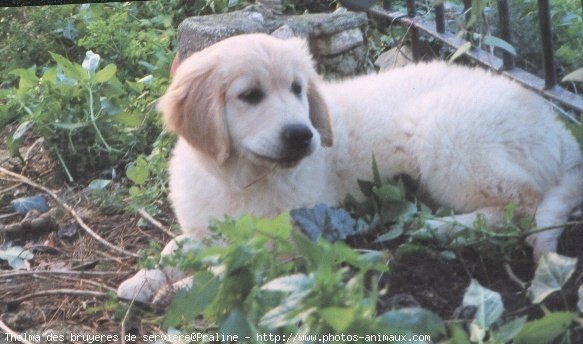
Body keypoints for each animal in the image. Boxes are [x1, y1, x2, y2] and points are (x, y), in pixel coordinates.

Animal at [117, 32, 583, 300]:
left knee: (521, 204)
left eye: (297, 89)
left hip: (446, 132)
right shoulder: (208, 224)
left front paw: (182, 287)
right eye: (250, 95)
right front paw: (148, 277)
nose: (302, 135)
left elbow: (237, 263)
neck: (241, 176)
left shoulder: (297, 235)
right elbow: (182, 247)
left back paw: (441, 226)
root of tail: (557, 128)